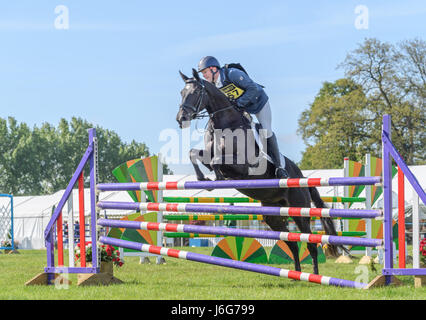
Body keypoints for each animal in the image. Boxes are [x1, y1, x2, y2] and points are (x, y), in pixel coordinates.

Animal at [175, 69, 342, 274]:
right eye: (182, 92)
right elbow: (194, 154)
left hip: (298, 210)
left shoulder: (245, 166)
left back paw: (315, 276)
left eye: (196, 92)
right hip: (273, 216)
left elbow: (217, 161)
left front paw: (217, 177)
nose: (181, 118)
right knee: (292, 243)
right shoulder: (208, 155)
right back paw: (295, 274)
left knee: (310, 243)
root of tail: (303, 178)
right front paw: (203, 179)